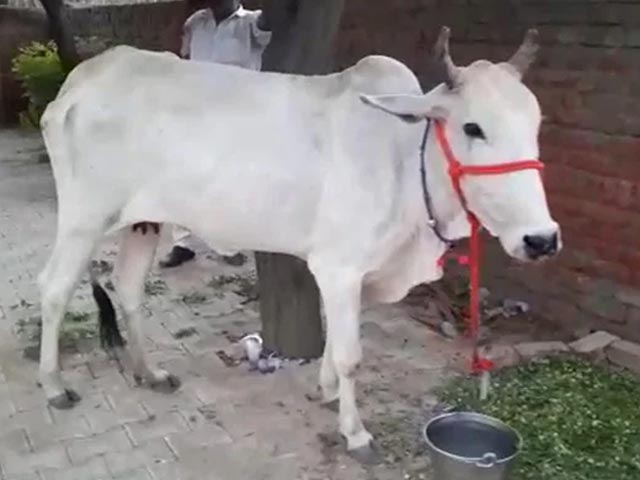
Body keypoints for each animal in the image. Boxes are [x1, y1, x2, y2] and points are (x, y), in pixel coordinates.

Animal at [37, 26, 560, 462]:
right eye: (473, 127)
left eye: (535, 124)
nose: (542, 239)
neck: (403, 158)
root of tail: (78, 85)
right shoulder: (339, 267)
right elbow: (351, 356)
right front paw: (356, 434)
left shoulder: (355, 273)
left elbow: (337, 341)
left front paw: (324, 389)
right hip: (84, 218)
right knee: (54, 289)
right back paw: (54, 386)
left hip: (143, 221)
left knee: (127, 288)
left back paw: (149, 373)